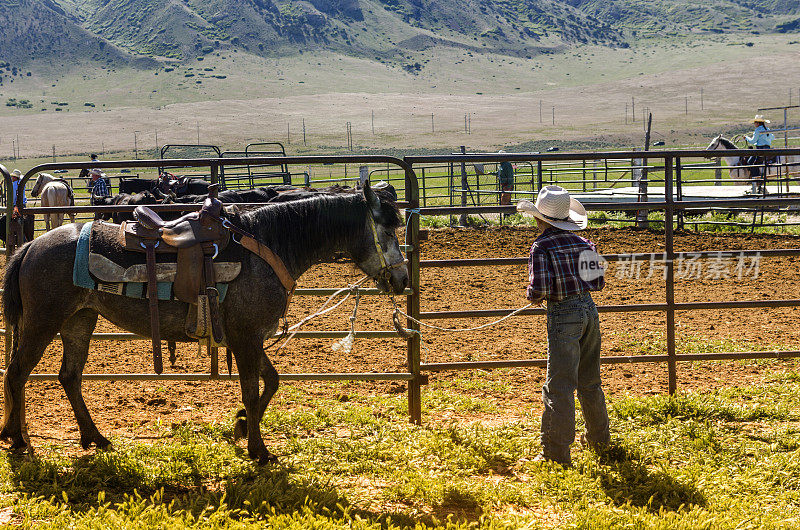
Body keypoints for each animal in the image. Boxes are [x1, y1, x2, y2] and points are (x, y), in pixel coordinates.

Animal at [0, 183, 410, 462]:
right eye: (387, 230)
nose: (403, 280)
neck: (269, 245)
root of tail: (30, 247)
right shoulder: (246, 338)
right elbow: (251, 390)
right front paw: (259, 450)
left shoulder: (250, 337)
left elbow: (272, 382)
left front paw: (242, 426)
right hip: (42, 322)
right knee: (17, 373)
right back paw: (20, 440)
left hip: (78, 321)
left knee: (69, 376)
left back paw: (94, 438)